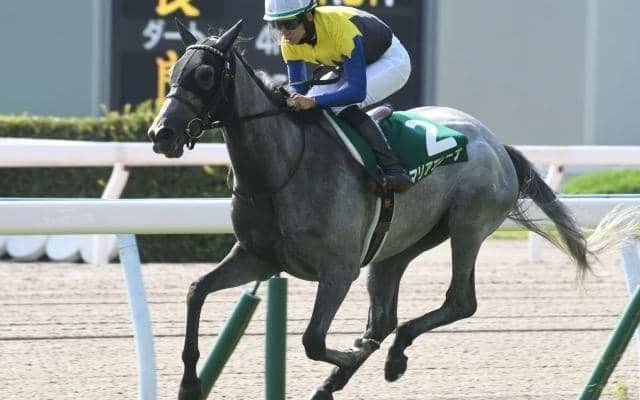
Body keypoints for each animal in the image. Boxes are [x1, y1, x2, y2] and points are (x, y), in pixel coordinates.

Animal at [148, 20, 628, 400]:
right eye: (173, 72)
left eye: (205, 73)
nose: (160, 134)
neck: (281, 169)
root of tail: (495, 142)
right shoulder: (257, 257)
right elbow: (196, 291)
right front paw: (189, 384)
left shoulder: (338, 270)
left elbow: (313, 340)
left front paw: (348, 355)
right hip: (396, 246)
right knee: (383, 319)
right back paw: (351, 374)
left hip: (468, 224)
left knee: (458, 302)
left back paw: (390, 358)